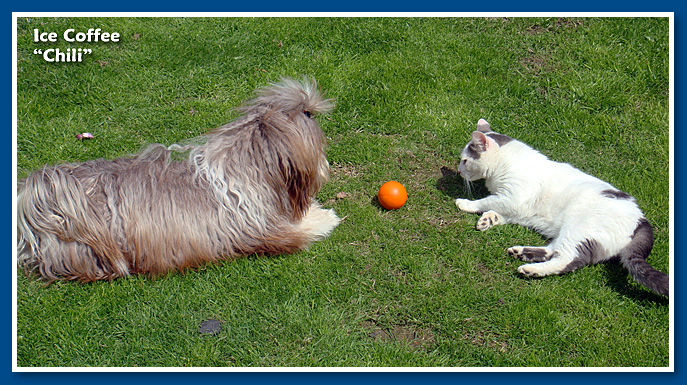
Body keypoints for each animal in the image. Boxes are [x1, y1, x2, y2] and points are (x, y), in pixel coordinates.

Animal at [454, 118, 668, 296]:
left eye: (465, 160)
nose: (458, 170)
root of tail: (642, 220)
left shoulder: (513, 197)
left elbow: (486, 201)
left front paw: (465, 203)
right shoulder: (515, 208)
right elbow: (497, 211)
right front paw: (488, 220)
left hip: (578, 230)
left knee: (568, 260)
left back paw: (531, 270)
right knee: (553, 250)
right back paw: (522, 252)